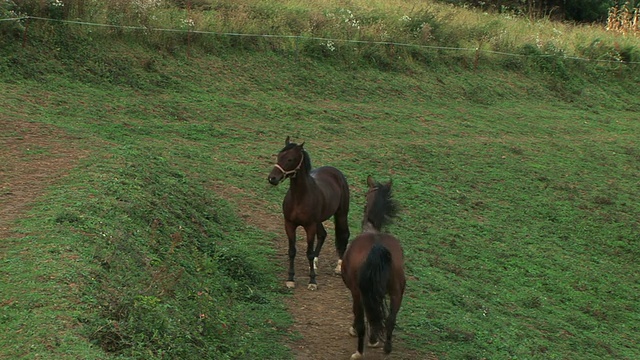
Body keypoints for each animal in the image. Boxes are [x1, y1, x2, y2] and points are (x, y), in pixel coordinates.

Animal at [268, 136, 352, 292]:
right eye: (279, 156)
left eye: (290, 159)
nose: (272, 178)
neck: (299, 197)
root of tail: (335, 172)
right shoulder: (289, 225)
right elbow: (292, 251)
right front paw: (290, 280)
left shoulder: (309, 226)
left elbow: (309, 253)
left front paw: (312, 282)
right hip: (319, 221)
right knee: (323, 235)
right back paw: (314, 265)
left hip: (341, 214)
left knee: (344, 235)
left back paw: (339, 267)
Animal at [340, 176, 404, 358]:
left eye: (366, 194)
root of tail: (377, 247)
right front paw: (374, 338)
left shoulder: (357, 291)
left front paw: (357, 332)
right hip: (397, 291)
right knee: (390, 319)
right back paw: (387, 348)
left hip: (360, 292)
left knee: (364, 320)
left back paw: (359, 352)